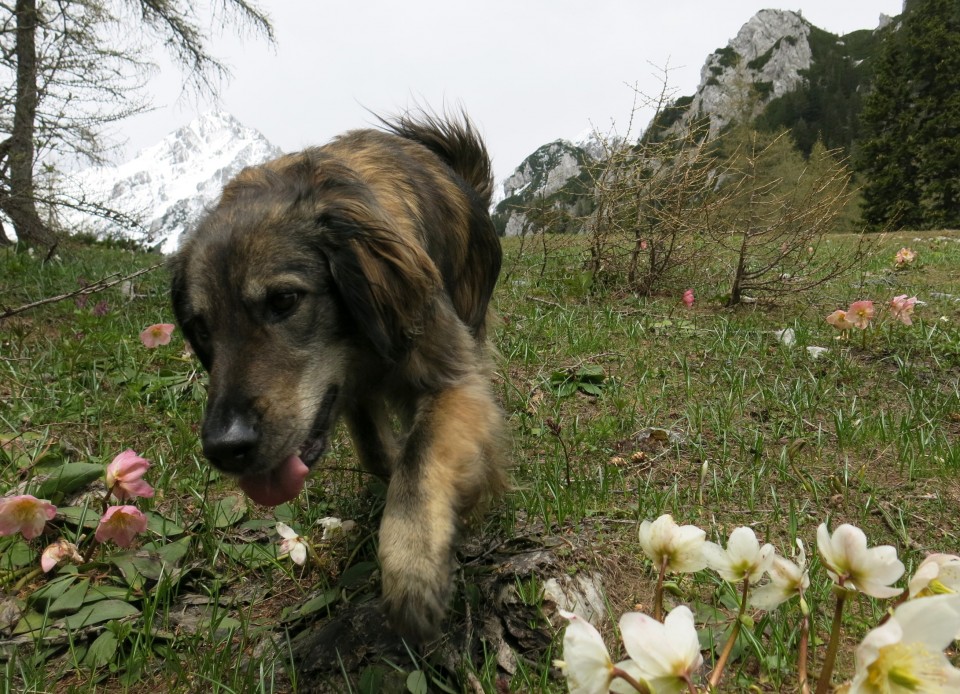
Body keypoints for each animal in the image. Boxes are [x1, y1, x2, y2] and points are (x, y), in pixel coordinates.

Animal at [169, 113, 506, 640]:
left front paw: (412, 567)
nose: (225, 447)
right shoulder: (352, 395)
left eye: (284, 301)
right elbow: (378, 452)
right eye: (201, 328)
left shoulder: (454, 379)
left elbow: (419, 457)